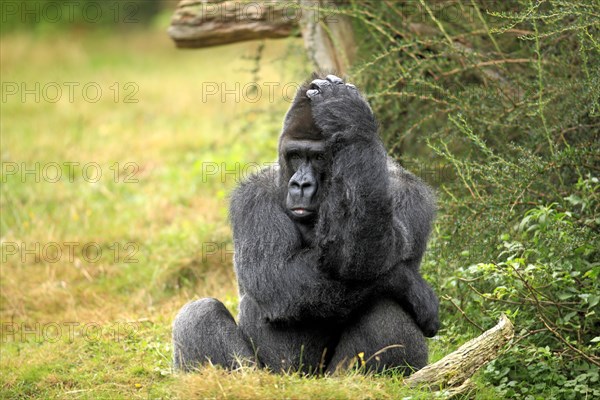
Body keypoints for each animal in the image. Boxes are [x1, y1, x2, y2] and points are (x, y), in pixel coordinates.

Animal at [171, 74, 438, 376]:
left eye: (319, 157)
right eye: (296, 155)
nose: (300, 184)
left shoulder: (407, 190)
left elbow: (362, 258)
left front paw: (348, 118)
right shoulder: (253, 195)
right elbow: (278, 275)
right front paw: (411, 285)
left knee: (384, 304)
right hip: (268, 372)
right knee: (199, 313)